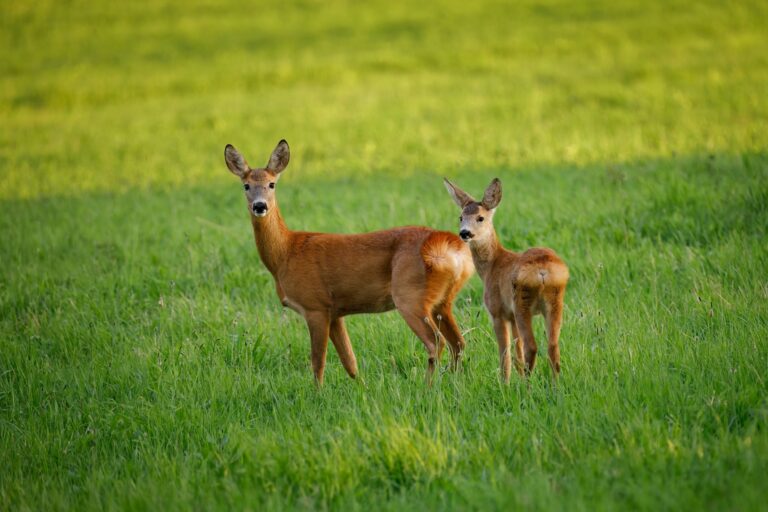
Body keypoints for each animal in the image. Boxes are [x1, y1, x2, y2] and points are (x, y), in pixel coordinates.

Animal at [224, 140, 474, 386]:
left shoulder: (315, 306)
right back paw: (453, 382)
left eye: (272, 184)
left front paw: (318, 393)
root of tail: (450, 245)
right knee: (458, 343)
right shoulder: (335, 312)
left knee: (437, 343)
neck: (286, 253)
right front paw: (362, 388)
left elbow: (318, 362)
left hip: (410, 295)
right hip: (443, 301)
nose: (260, 206)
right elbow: (350, 362)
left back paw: (427, 387)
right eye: (246, 185)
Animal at [443, 177, 569, 383]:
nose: (465, 233)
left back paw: (527, 385)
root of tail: (543, 271)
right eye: (460, 217)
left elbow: (505, 354)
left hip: (522, 303)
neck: (492, 266)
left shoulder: (497, 311)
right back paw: (554, 384)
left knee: (531, 347)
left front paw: (505, 383)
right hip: (555, 301)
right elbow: (517, 353)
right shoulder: (510, 316)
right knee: (553, 346)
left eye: (480, 218)